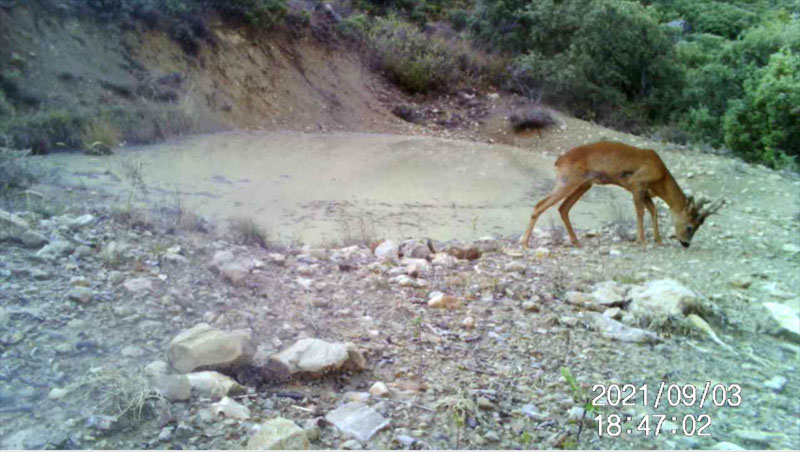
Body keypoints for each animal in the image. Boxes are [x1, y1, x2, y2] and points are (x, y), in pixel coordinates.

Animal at [520, 140, 720, 247]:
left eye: (699, 226)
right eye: (690, 226)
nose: (685, 243)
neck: (661, 176)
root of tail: (559, 160)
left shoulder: (646, 192)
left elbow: (653, 211)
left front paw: (658, 240)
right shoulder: (637, 184)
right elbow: (640, 211)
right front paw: (641, 241)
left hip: (583, 185)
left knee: (563, 208)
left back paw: (576, 241)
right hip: (568, 180)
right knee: (540, 205)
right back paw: (525, 243)